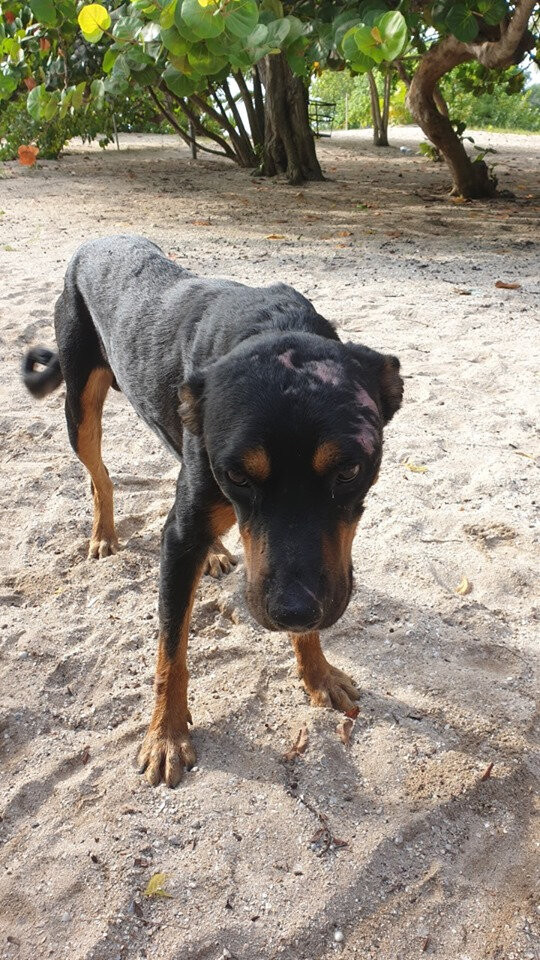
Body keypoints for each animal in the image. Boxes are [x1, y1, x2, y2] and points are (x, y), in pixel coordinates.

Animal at [23, 234, 402, 788]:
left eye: (350, 469)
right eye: (238, 474)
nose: (290, 610)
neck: (271, 328)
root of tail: (97, 240)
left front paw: (317, 673)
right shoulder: (180, 538)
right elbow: (171, 650)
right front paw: (164, 735)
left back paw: (218, 550)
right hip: (81, 405)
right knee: (99, 476)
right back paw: (105, 533)